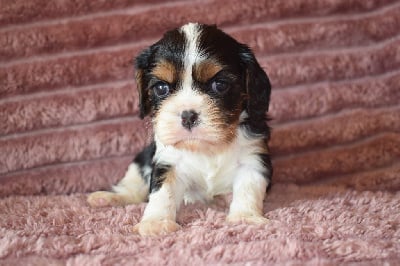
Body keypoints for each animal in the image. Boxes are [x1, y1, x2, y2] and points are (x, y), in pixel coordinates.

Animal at [88, 22, 272, 235]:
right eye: (161, 88)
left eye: (220, 85)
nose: (188, 116)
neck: (206, 148)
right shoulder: (168, 161)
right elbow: (162, 192)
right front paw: (156, 222)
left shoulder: (253, 158)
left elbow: (248, 188)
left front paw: (245, 217)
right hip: (139, 162)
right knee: (132, 190)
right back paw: (107, 198)